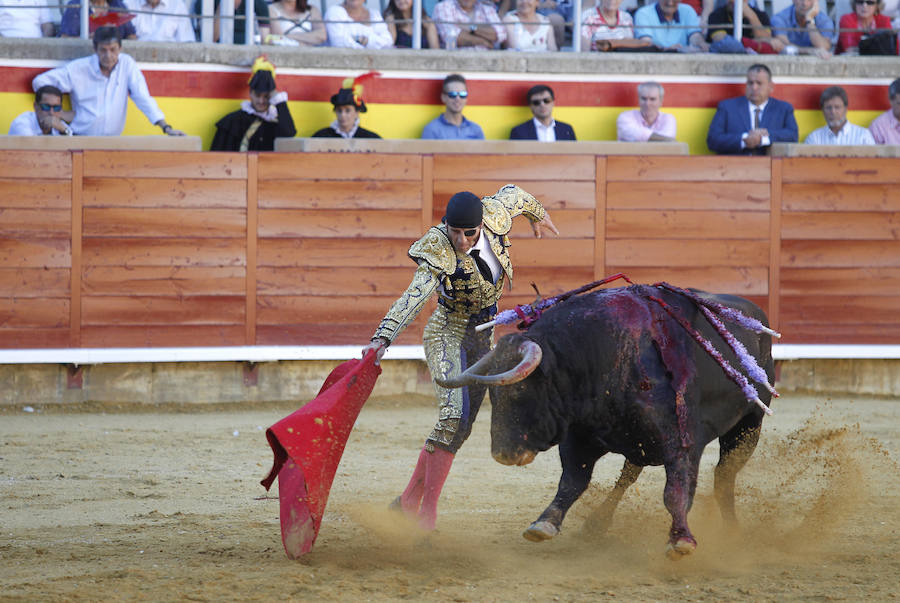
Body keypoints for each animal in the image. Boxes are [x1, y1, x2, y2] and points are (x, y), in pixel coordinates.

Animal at [436, 286, 772, 560]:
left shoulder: (680, 442)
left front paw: (681, 540)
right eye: (493, 394)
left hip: (748, 427)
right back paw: (597, 523)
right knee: (628, 476)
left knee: (724, 476)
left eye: (519, 391)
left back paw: (731, 530)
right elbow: (572, 482)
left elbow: (676, 491)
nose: (503, 454)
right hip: (640, 443)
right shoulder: (580, 438)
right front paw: (544, 523)